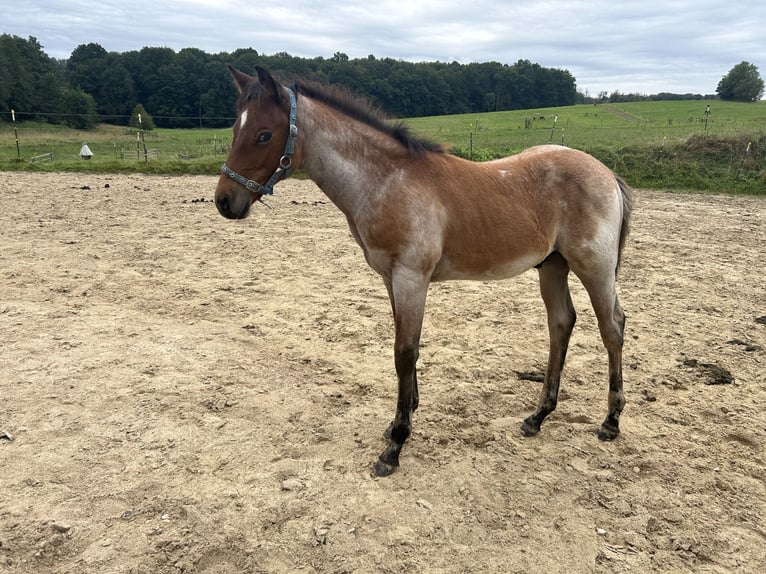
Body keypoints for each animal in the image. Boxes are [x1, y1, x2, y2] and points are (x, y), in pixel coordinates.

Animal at [213, 65, 632, 480]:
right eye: (235, 130)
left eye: (264, 135)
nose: (224, 202)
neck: (388, 182)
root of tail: (608, 174)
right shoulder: (390, 278)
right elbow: (403, 348)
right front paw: (401, 420)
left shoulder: (411, 277)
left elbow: (405, 351)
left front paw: (395, 446)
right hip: (553, 266)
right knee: (561, 323)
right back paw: (538, 416)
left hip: (594, 266)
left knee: (612, 327)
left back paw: (610, 421)